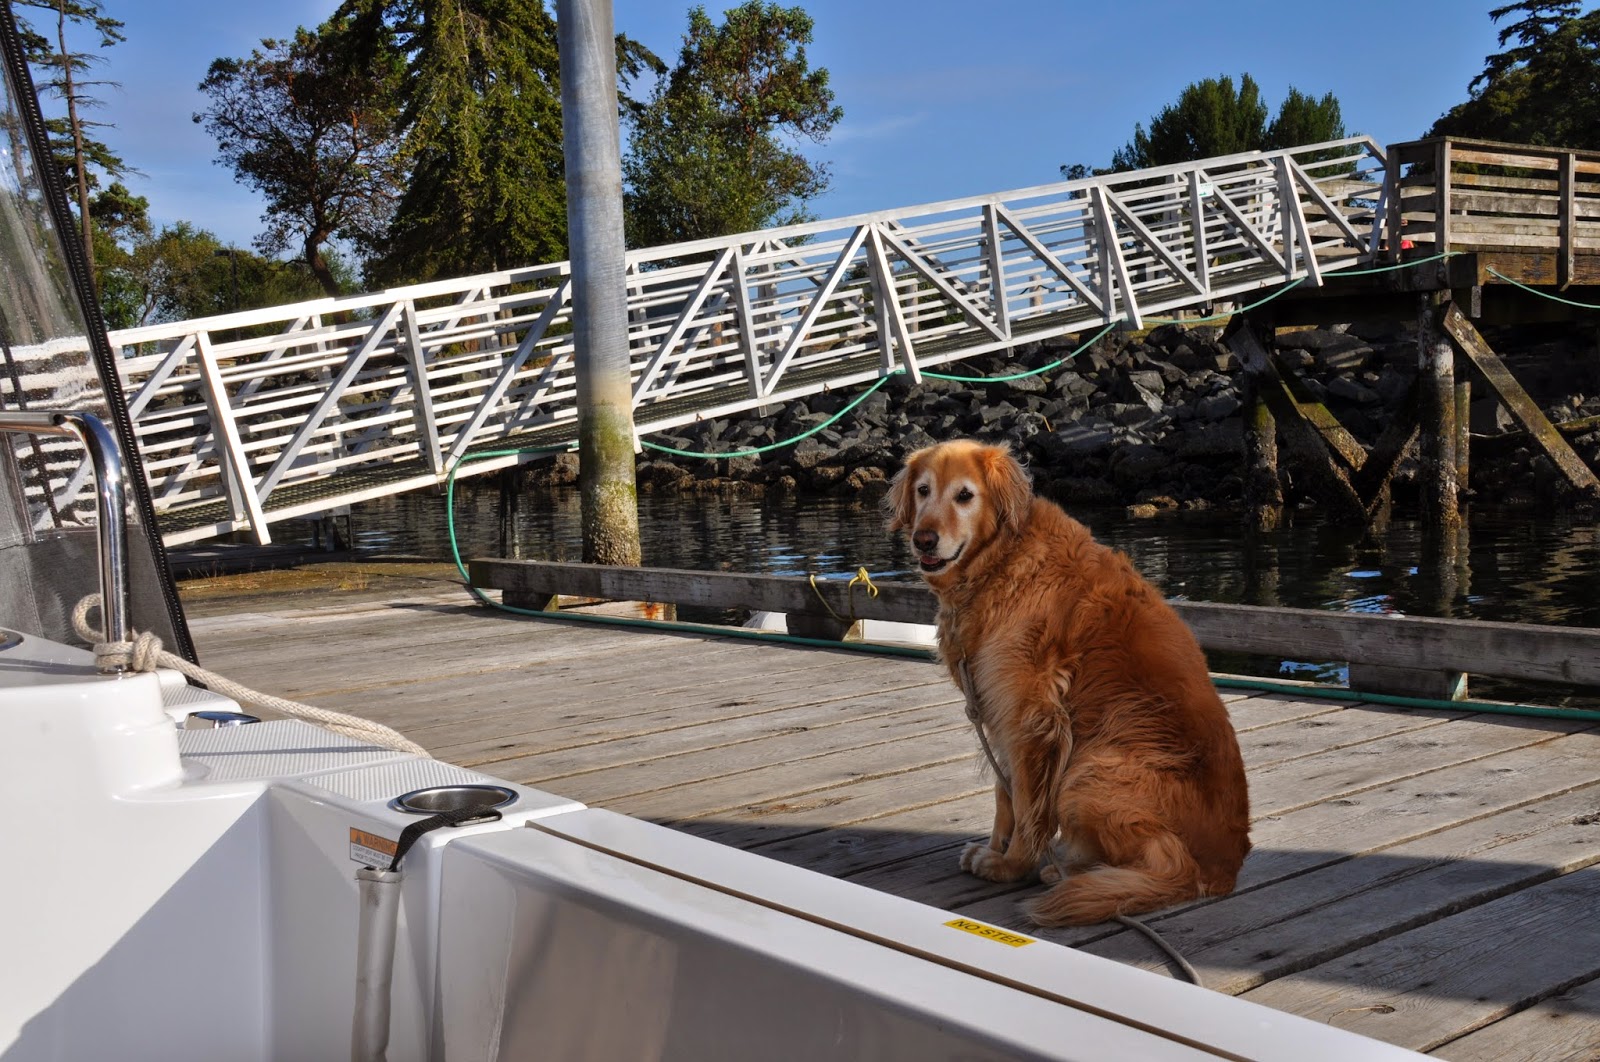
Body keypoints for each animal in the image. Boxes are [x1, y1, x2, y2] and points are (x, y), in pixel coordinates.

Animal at [886, 439, 1250, 926]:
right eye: (923, 490)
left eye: (965, 495)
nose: (923, 539)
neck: (1002, 560)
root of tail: (1220, 873)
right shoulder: (998, 708)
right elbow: (1004, 793)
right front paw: (995, 848)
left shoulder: (1030, 716)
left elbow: (1026, 803)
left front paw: (1010, 864)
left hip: (1088, 772)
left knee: (1161, 862)